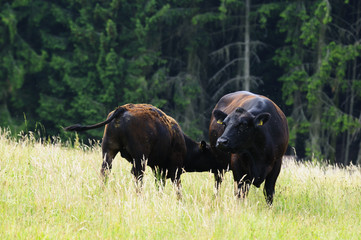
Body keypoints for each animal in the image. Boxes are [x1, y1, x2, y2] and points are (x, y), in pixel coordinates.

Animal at [64, 103, 217, 193]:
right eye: (210, 153)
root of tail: (122, 109)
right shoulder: (174, 169)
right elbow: (176, 187)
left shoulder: (158, 168)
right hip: (140, 158)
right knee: (138, 175)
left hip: (109, 150)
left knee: (105, 171)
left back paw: (102, 191)